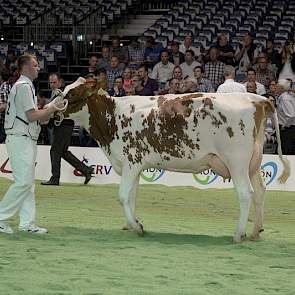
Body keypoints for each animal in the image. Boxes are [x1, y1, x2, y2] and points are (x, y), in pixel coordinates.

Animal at [59, 78, 290, 243]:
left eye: (73, 93)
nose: (55, 109)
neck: (113, 118)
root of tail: (257, 99)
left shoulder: (131, 162)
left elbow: (123, 195)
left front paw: (137, 227)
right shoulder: (132, 164)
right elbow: (132, 196)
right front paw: (130, 224)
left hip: (237, 162)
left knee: (245, 194)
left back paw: (238, 234)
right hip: (253, 163)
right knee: (260, 191)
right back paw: (255, 232)